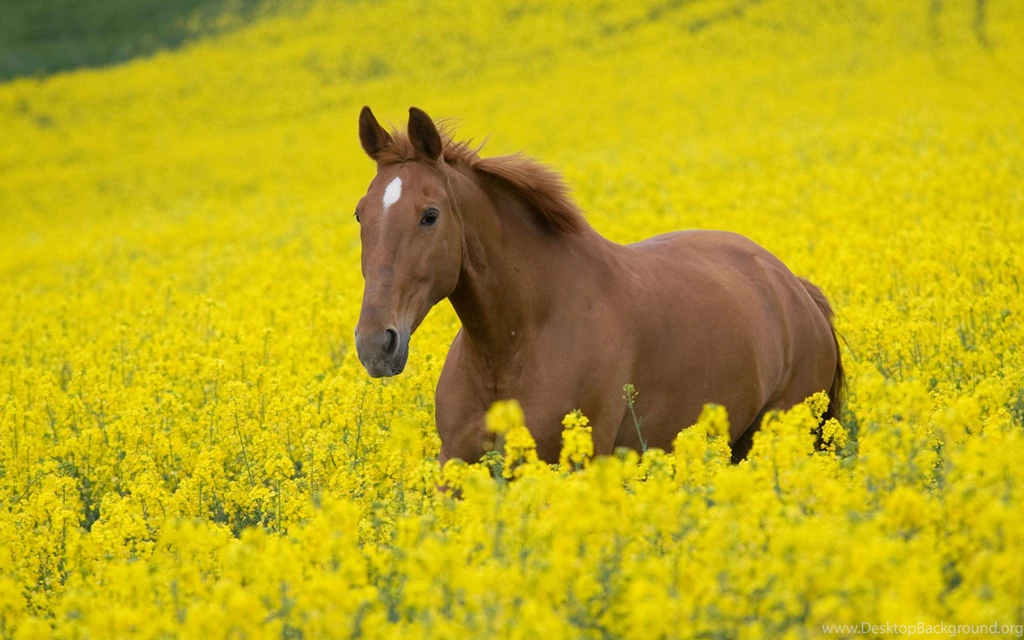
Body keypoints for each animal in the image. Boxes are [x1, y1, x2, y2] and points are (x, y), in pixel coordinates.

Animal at [353, 106, 844, 465]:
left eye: (430, 215)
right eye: (360, 213)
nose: (376, 344)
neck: (512, 346)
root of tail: (794, 288)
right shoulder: (456, 465)